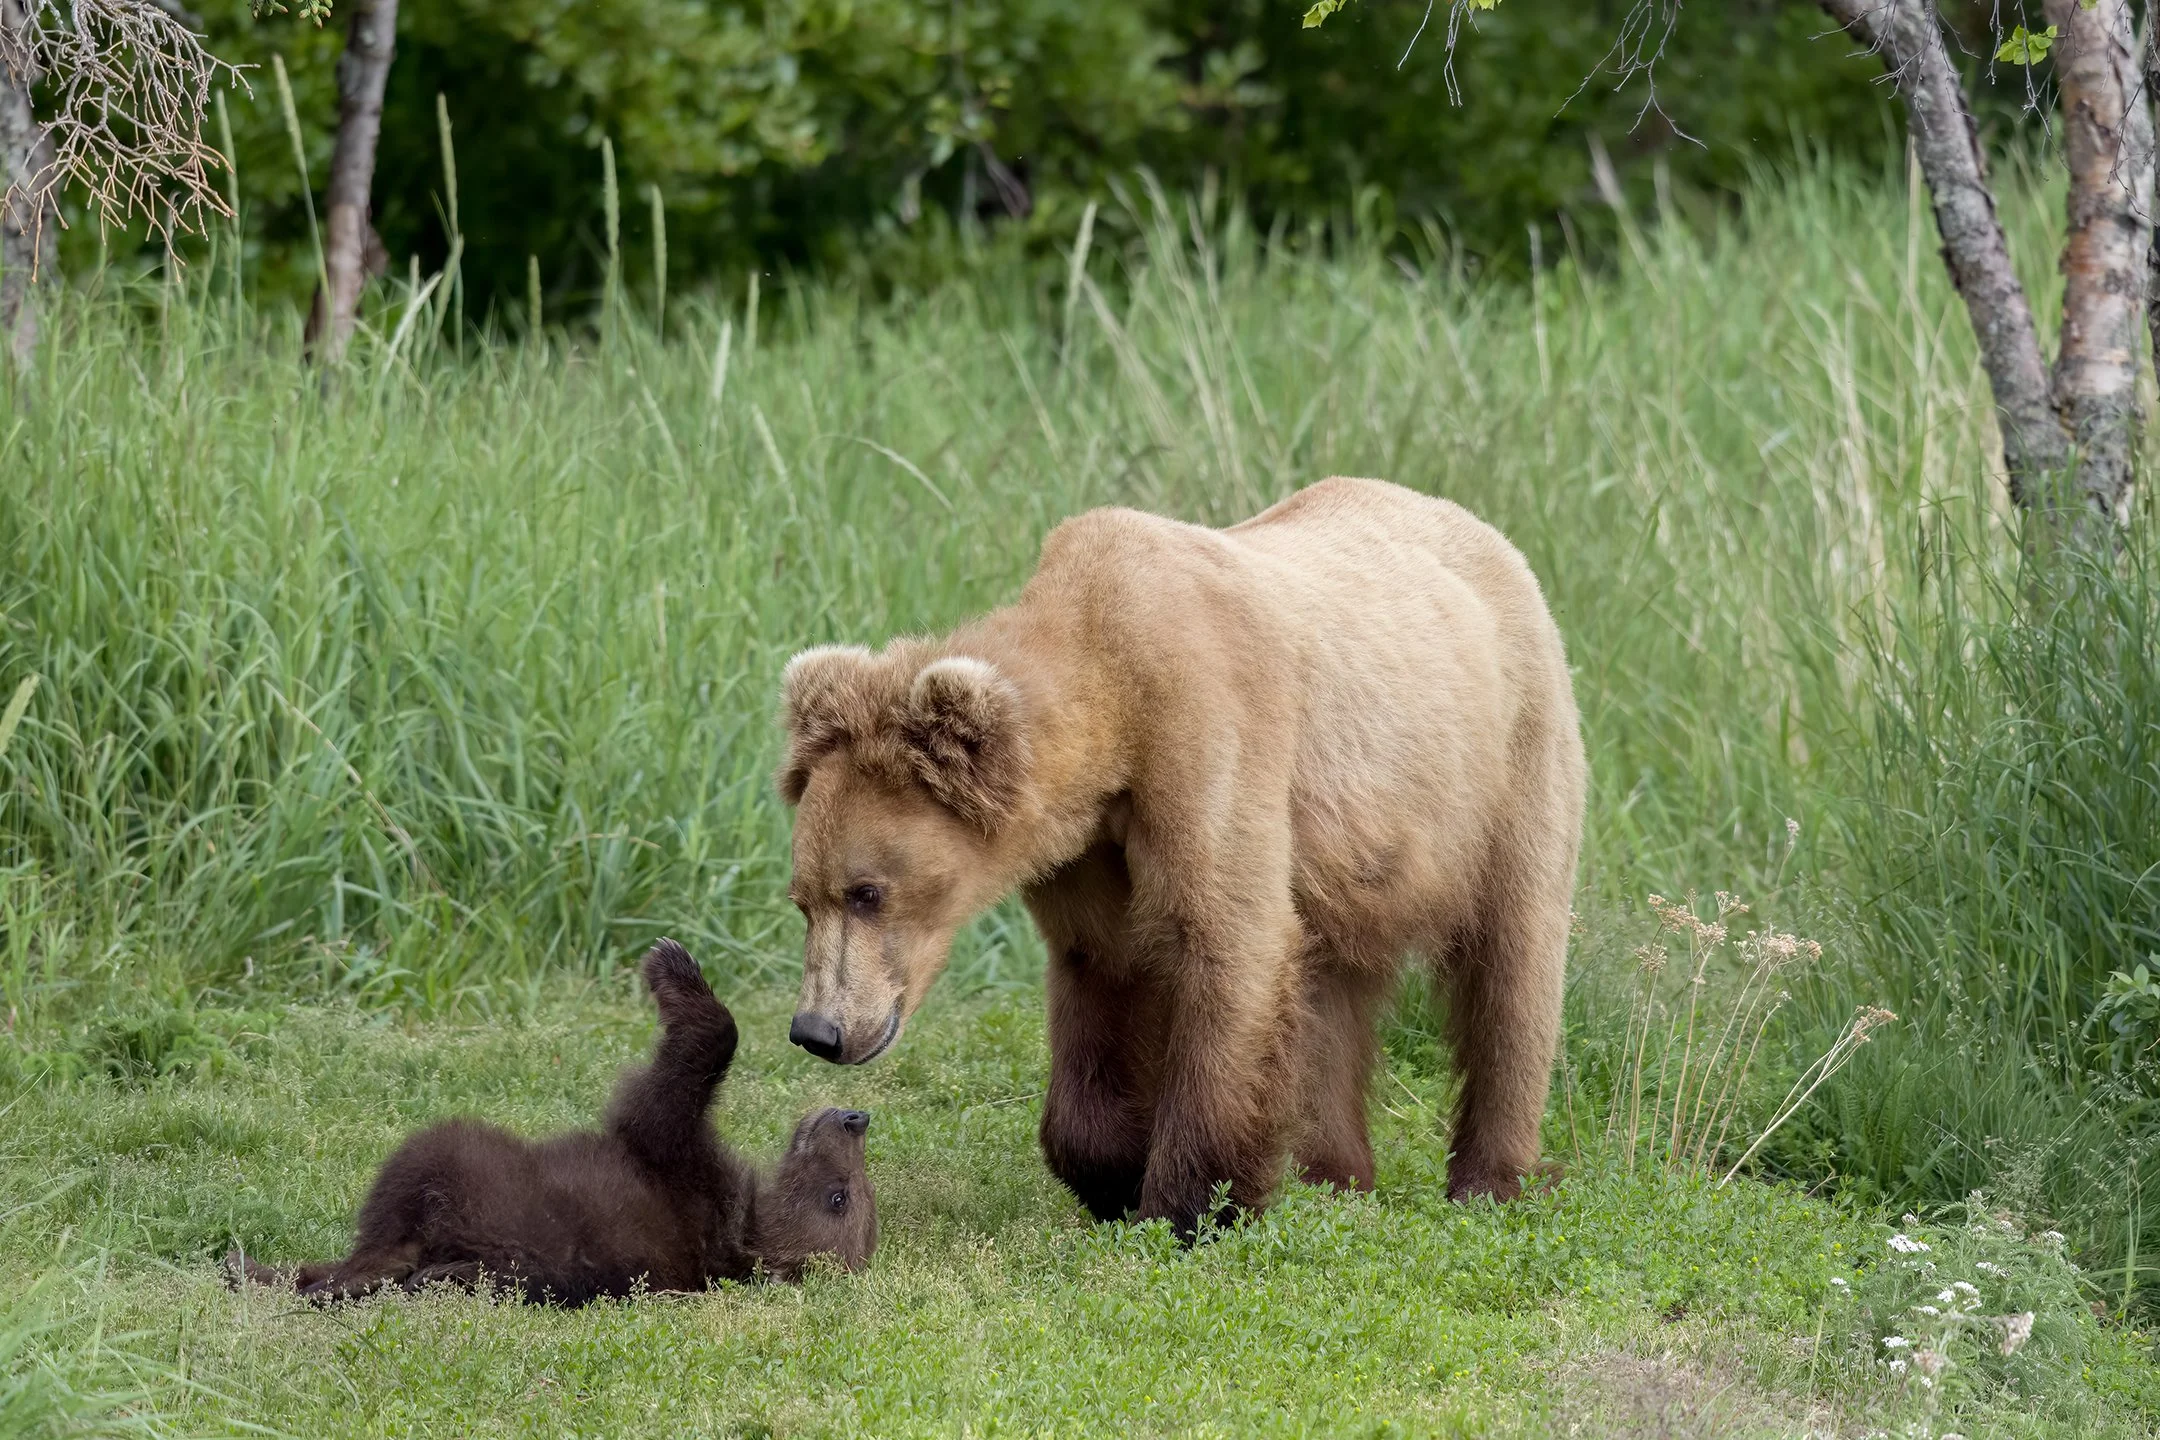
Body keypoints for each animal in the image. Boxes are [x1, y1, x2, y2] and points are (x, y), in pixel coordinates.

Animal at [226, 940, 877, 1304]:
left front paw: (672, 966)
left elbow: (668, 1095)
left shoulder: (679, 1171)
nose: (854, 1118)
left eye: (840, 1198)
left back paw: (279, 1272)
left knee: (392, 1222)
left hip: (462, 1168)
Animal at [772, 477, 1586, 1239]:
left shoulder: (1208, 732)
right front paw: (1111, 1174)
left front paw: (1192, 1208)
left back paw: (1492, 1180)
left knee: (1513, 964)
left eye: (867, 892)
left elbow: (1227, 941)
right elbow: (1105, 969)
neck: (1113, 712)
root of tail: (1482, 532)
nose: (818, 1031)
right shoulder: (1090, 848)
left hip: (1504, 761)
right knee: (1332, 991)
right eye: (803, 898)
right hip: (1358, 853)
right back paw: (1335, 1178)